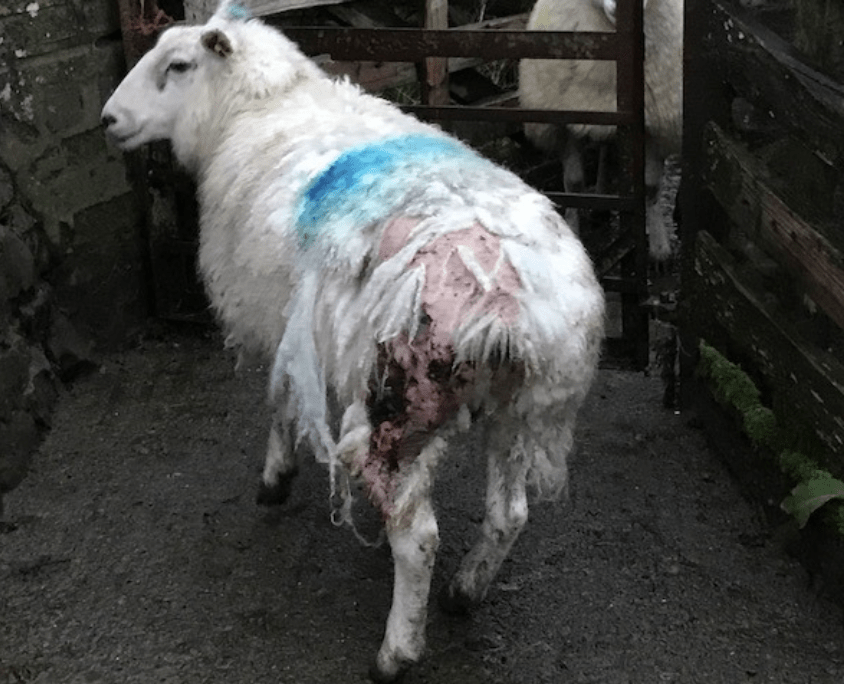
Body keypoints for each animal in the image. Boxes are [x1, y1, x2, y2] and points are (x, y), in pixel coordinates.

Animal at [101, 1, 605, 681]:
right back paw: (464, 593)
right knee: (509, 515)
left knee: (417, 537)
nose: (109, 119)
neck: (260, 107)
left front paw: (275, 477)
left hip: (401, 407)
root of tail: (503, 305)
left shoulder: (276, 321)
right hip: (525, 407)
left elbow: (280, 402)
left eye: (178, 65)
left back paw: (396, 651)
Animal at [518, 0, 683, 259]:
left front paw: (659, 247)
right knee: (605, 150)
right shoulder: (565, 123)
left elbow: (651, 187)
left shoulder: (653, 127)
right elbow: (574, 184)